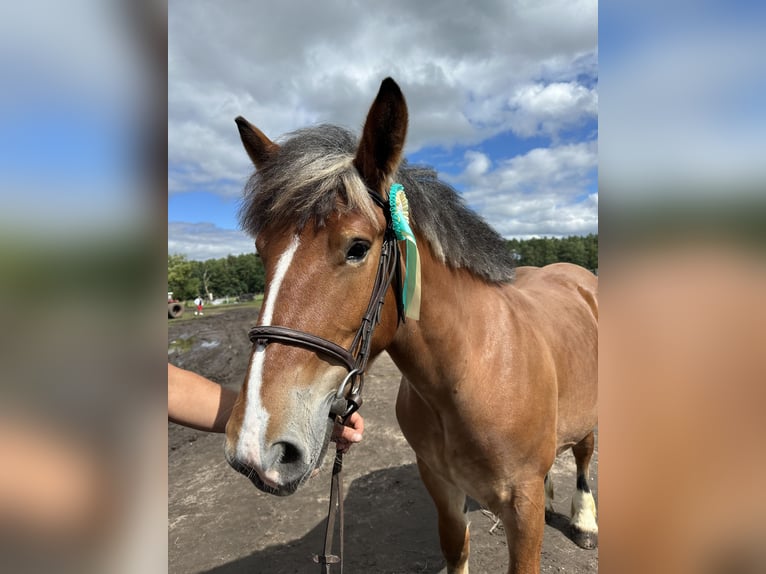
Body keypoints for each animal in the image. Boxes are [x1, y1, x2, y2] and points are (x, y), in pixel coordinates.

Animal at [225, 77, 604, 574]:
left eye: (358, 247)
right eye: (260, 251)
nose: (253, 444)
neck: (470, 374)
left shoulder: (521, 508)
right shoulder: (441, 486)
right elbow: (456, 549)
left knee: (584, 452)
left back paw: (584, 520)